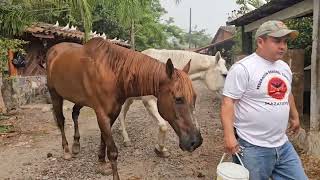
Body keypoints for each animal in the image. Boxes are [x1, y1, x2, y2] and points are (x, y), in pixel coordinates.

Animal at [45, 37, 202, 179]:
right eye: (178, 99)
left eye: (195, 97)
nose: (195, 142)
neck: (112, 73)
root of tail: (53, 50)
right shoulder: (101, 113)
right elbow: (113, 151)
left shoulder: (113, 112)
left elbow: (104, 139)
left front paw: (101, 162)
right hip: (55, 94)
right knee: (61, 120)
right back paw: (66, 150)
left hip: (80, 99)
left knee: (75, 113)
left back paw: (76, 145)